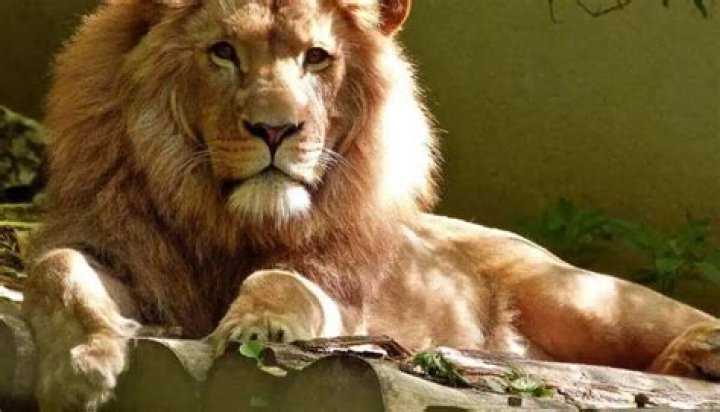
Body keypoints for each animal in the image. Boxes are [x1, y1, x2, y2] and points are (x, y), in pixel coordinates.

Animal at [21, 0, 719, 409]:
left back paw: (701, 350)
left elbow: (283, 281)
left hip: (579, 297)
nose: (276, 130)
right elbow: (56, 268)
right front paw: (83, 363)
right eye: (223, 52)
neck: (230, 221)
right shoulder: (123, 254)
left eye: (316, 58)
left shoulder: (346, 299)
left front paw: (257, 326)